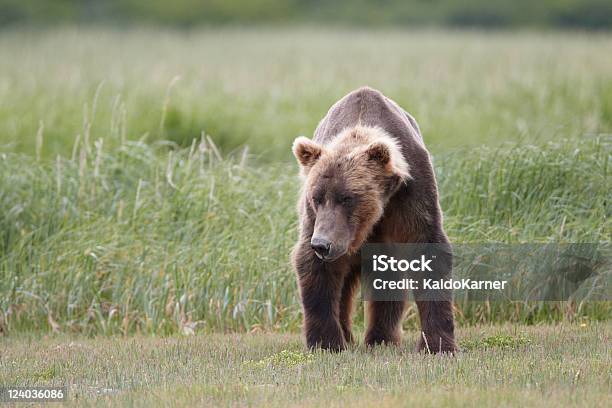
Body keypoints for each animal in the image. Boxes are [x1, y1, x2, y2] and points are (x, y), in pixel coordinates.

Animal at [290, 87, 454, 354]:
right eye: (317, 197)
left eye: (347, 198)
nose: (322, 244)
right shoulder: (315, 220)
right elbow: (315, 270)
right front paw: (326, 342)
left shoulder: (411, 196)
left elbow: (427, 248)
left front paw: (438, 344)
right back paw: (350, 336)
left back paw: (381, 338)